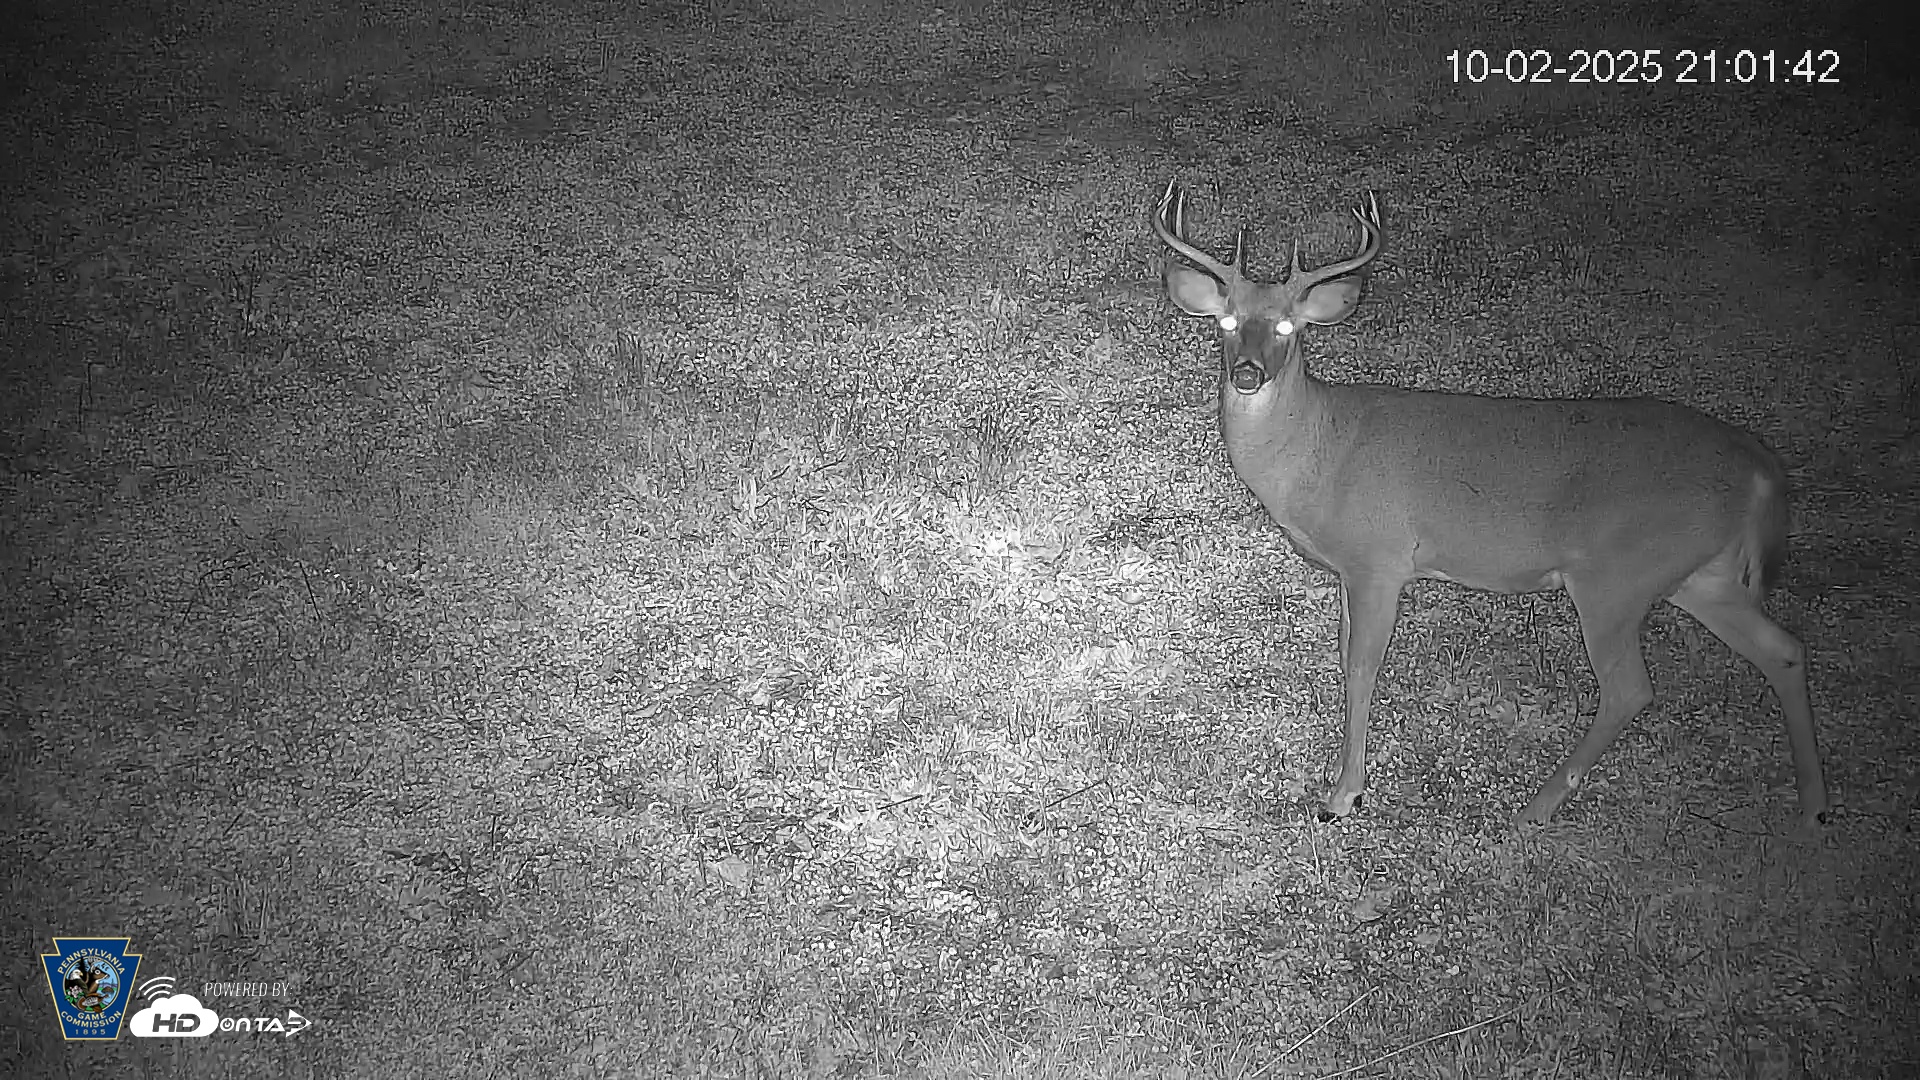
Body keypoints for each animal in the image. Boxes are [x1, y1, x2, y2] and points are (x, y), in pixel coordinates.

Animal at [1149, 180, 1829, 831]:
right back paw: (1814, 806)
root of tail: (1758, 465)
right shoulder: (1347, 569)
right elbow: (1344, 659)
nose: (1246, 373)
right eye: (1226, 321)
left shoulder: (1380, 559)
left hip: (1617, 576)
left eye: (1290, 327)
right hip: (1700, 573)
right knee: (1784, 649)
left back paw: (1535, 809)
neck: (1319, 450)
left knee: (1630, 688)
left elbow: (1363, 669)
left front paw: (1343, 795)